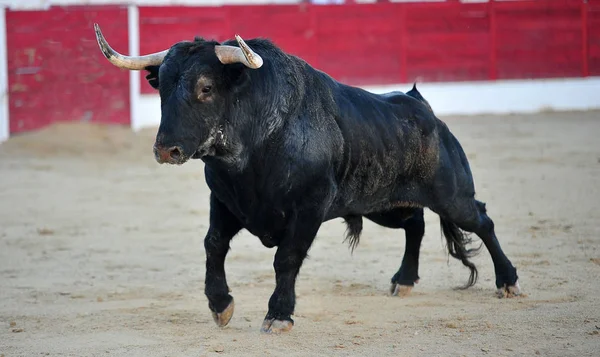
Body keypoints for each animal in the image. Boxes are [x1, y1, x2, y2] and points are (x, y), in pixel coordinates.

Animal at [94, 25, 520, 334]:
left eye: (206, 87)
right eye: (162, 88)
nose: (166, 149)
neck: (256, 147)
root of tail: (424, 109)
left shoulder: (310, 207)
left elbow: (286, 258)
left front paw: (278, 315)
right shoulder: (225, 201)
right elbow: (213, 244)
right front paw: (220, 305)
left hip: (451, 196)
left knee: (482, 221)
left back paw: (508, 281)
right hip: (382, 203)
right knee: (415, 224)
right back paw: (404, 281)